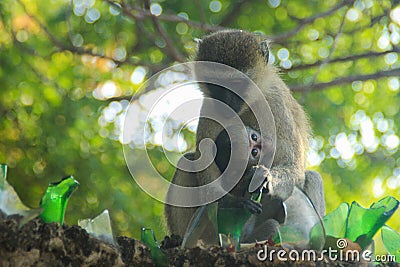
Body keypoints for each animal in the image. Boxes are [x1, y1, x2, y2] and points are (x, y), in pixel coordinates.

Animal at [164, 29, 326, 245]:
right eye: (217, 85)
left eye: (238, 83)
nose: (226, 103)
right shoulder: (210, 106)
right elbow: (208, 173)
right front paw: (237, 201)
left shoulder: (276, 104)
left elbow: (293, 167)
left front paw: (266, 179)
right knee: (189, 161)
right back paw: (179, 239)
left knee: (312, 177)